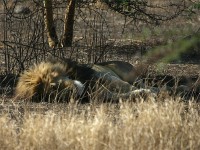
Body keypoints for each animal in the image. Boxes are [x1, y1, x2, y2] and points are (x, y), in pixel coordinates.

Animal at [15, 58, 154, 102]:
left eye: (55, 86)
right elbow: (124, 95)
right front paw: (143, 94)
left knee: (143, 83)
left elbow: (127, 86)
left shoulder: (108, 78)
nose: (73, 94)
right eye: (54, 97)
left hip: (130, 75)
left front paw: (150, 93)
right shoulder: (100, 94)